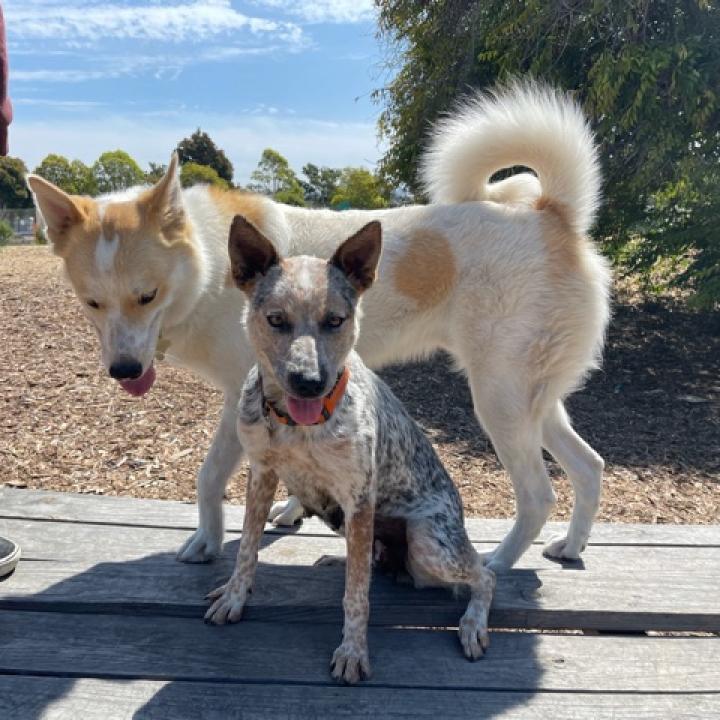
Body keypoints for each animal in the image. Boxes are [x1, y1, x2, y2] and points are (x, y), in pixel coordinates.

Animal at [31, 81, 612, 572]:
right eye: (91, 303)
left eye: (146, 296)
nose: (124, 371)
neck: (209, 265)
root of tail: (551, 213)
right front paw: (291, 510)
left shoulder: (239, 398)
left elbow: (209, 476)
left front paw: (206, 542)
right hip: (534, 402)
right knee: (589, 466)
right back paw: (571, 546)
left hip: (498, 401)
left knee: (539, 494)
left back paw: (497, 562)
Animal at [202, 212, 496, 680]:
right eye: (276, 319)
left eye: (335, 320)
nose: (309, 382)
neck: (295, 426)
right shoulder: (263, 474)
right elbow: (247, 548)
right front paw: (234, 597)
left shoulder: (359, 497)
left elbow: (356, 595)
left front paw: (353, 651)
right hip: (340, 515)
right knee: (370, 557)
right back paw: (344, 559)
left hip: (428, 542)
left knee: (483, 576)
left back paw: (471, 625)